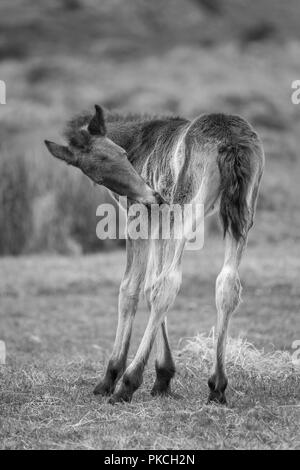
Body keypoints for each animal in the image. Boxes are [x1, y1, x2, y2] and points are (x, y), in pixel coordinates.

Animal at [45, 104, 264, 402]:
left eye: (122, 154)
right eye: (97, 172)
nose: (154, 196)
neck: (135, 140)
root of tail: (231, 140)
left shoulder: (140, 219)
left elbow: (132, 289)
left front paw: (111, 376)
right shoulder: (160, 221)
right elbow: (151, 284)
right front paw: (163, 376)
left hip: (187, 207)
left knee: (169, 284)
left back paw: (127, 383)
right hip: (243, 213)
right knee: (226, 283)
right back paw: (217, 386)